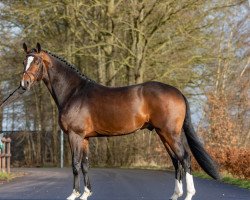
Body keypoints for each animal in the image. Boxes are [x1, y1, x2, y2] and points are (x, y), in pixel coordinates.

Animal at [19, 43, 219, 200]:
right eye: (24, 62)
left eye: (36, 62)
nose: (24, 84)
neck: (74, 92)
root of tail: (178, 92)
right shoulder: (85, 138)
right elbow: (85, 164)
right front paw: (86, 193)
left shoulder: (75, 135)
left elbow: (75, 164)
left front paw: (74, 194)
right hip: (163, 134)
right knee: (176, 161)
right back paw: (175, 194)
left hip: (170, 133)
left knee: (184, 158)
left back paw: (189, 194)